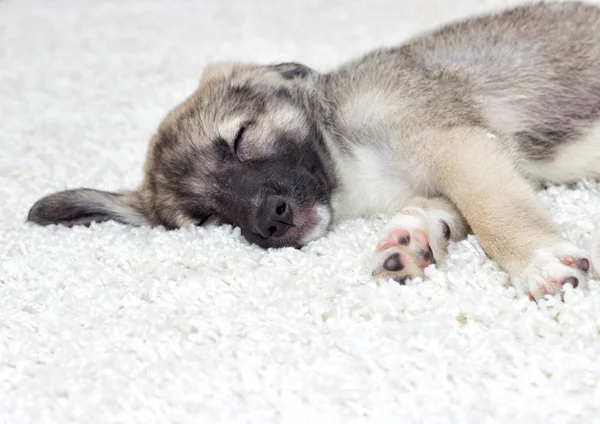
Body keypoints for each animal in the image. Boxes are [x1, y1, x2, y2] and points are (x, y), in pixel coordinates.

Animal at [27, 1, 600, 298]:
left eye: (240, 139)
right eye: (206, 218)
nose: (272, 220)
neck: (347, 168)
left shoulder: (457, 143)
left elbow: (493, 212)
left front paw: (535, 262)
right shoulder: (464, 160)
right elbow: (450, 207)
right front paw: (412, 237)